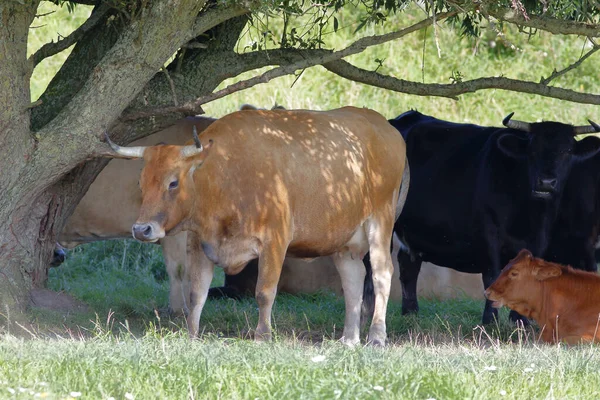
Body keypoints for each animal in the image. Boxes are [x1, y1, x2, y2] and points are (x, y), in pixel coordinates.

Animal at [106, 107, 408, 346]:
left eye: (173, 182)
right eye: (141, 183)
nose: (141, 229)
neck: (226, 177)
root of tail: (383, 125)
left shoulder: (275, 240)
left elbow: (264, 292)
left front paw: (263, 336)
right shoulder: (200, 244)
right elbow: (196, 293)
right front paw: (192, 335)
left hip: (380, 222)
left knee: (381, 274)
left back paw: (376, 336)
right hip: (344, 240)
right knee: (353, 278)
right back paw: (349, 338)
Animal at [384, 110, 600, 324]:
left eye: (567, 152)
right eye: (532, 151)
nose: (546, 182)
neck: (527, 216)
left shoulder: (540, 239)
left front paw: (520, 321)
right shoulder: (488, 236)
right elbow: (492, 275)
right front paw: (490, 320)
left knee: (408, 266)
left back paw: (411, 313)